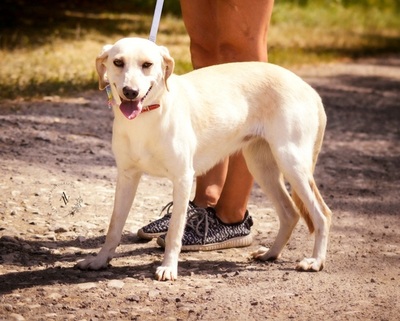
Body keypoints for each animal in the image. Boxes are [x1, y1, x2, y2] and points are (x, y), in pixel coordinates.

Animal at [75, 37, 332, 278]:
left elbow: (174, 232)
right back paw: (270, 254)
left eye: (147, 65)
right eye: (118, 63)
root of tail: (307, 87)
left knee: (322, 214)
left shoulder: (183, 178)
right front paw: (100, 260)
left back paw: (316, 261)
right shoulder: (127, 177)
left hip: (292, 162)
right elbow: (114, 226)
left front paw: (168, 268)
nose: (130, 92)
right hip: (262, 166)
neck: (149, 115)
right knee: (290, 213)